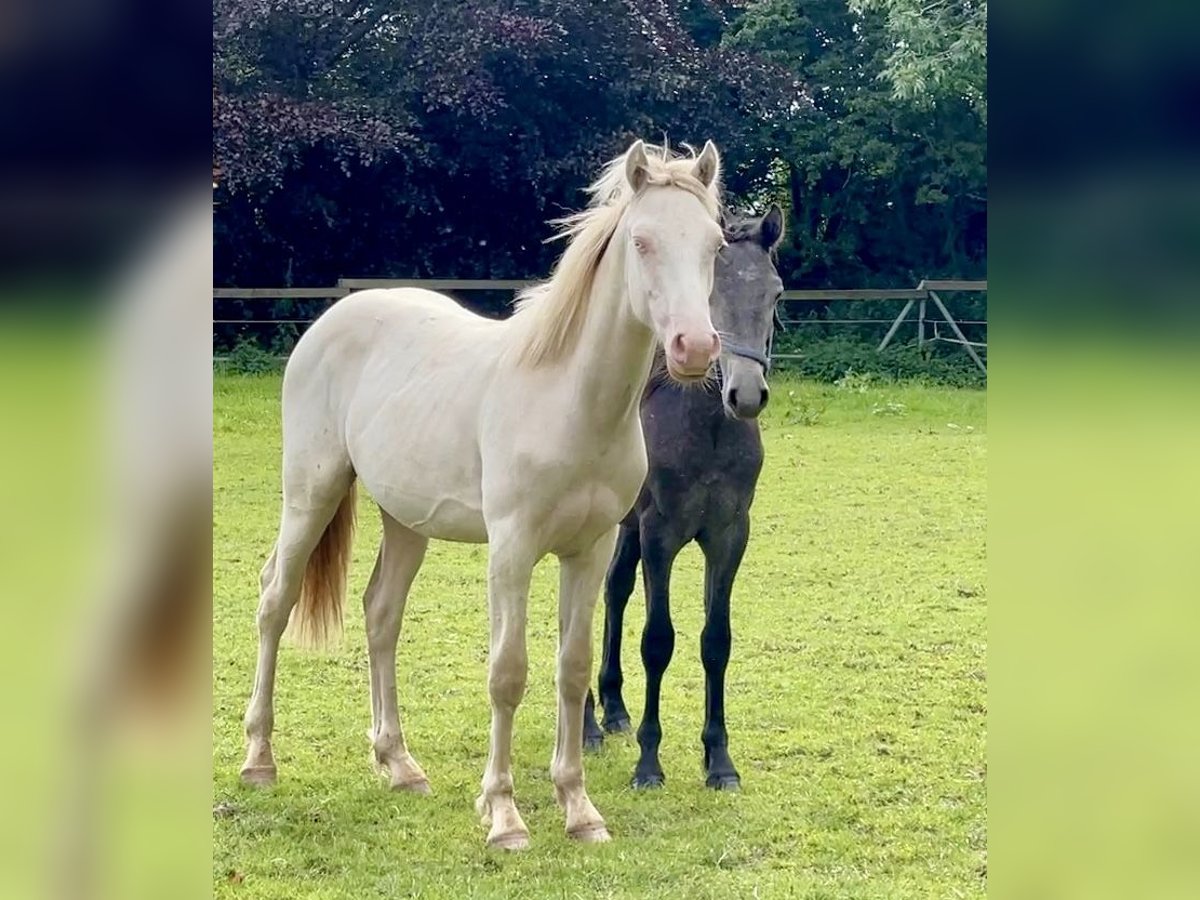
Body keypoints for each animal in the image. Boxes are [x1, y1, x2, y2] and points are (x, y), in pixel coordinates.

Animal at [238, 141, 715, 854]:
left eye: (715, 244)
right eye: (643, 241)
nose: (696, 347)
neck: (570, 401)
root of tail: (330, 321)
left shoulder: (592, 550)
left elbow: (572, 669)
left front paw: (579, 809)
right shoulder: (512, 550)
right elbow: (508, 673)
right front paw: (504, 815)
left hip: (404, 520)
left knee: (381, 614)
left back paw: (399, 765)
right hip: (310, 493)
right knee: (276, 600)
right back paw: (259, 760)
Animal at [583, 206, 787, 787]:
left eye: (776, 294)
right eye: (711, 293)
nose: (746, 395)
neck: (709, 429)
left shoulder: (729, 534)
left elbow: (716, 641)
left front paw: (719, 759)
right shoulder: (662, 533)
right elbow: (658, 640)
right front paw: (649, 762)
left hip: (624, 526)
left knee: (614, 590)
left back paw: (614, 710)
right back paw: (587, 726)